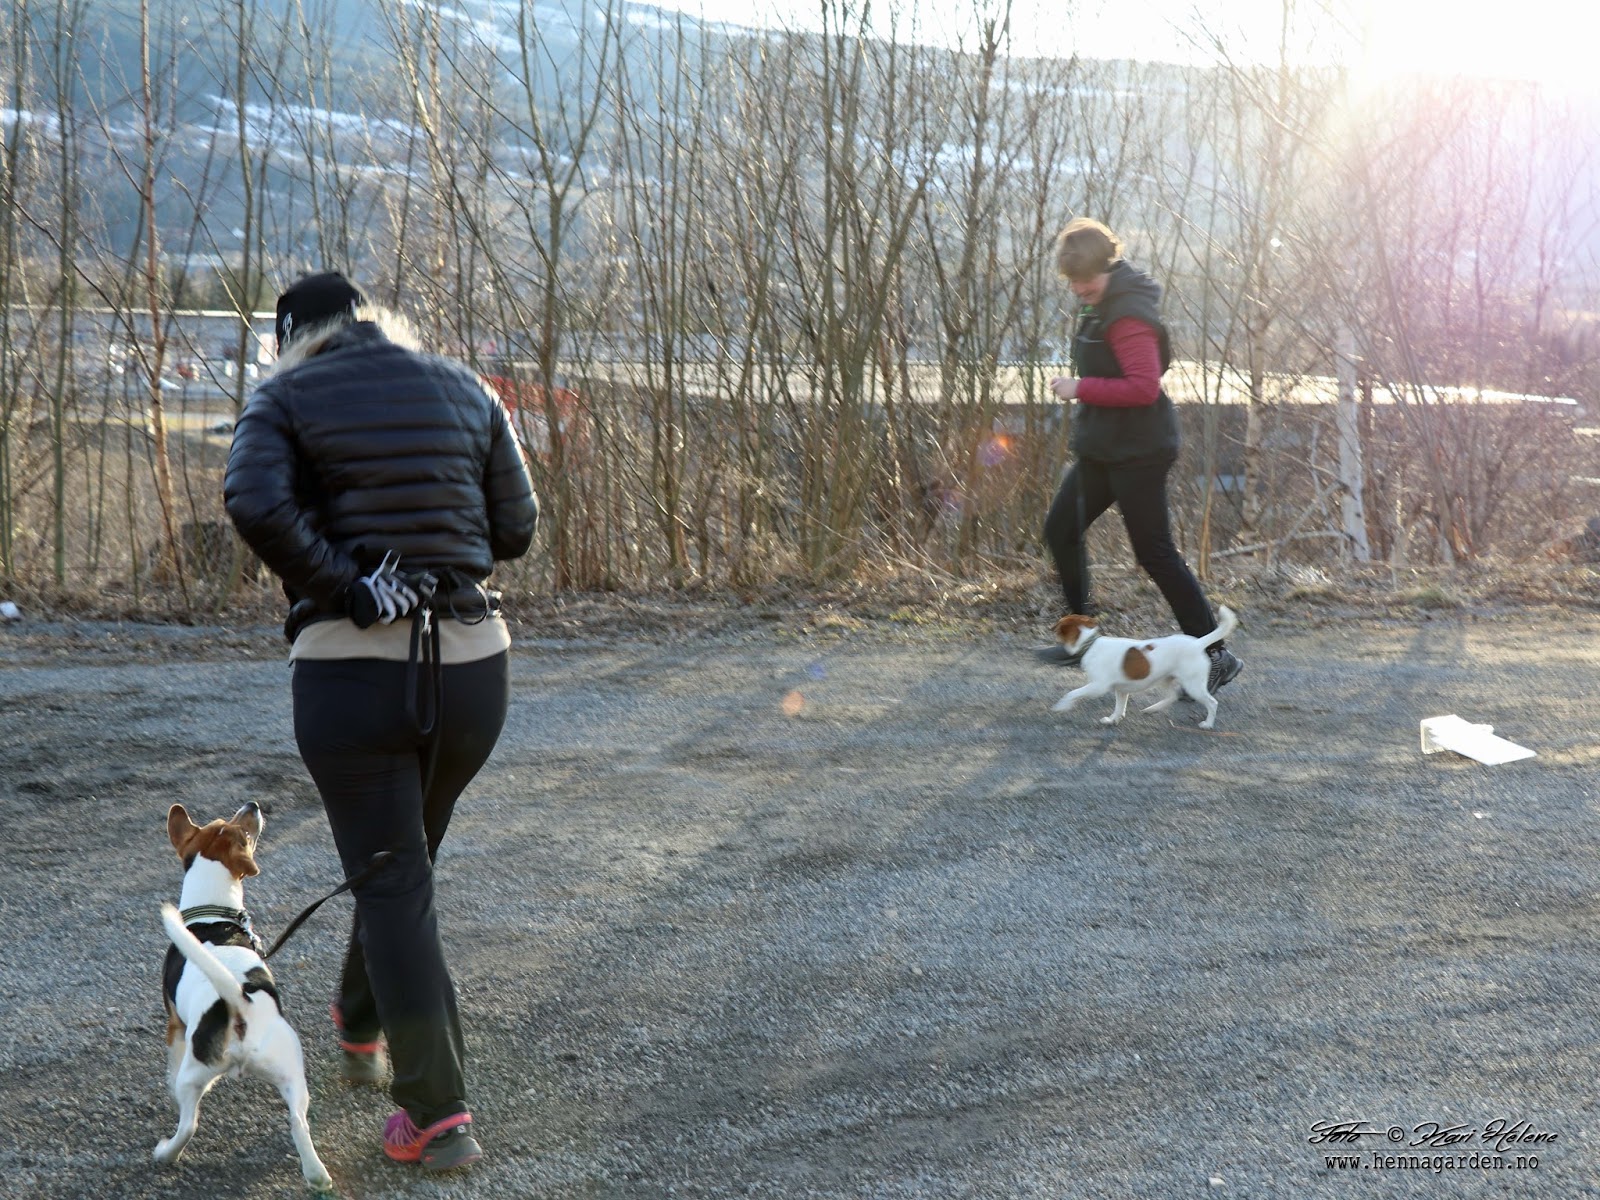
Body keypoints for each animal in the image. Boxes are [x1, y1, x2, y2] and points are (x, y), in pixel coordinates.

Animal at [156, 801, 333, 1192]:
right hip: (292, 1073)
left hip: (193, 1075)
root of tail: (239, 1005)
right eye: (226, 823)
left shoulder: (175, 1027)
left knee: (188, 1124)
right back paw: (317, 1176)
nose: (253, 805)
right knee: (299, 1123)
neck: (211, 915)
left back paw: (165, 1153)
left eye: (242, 831)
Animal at [1051, 606, 1237, 730]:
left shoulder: (1098, 686)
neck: (1089, 644)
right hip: (1165, 679)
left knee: (1212, 703)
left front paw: (1061, 706)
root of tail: (1198, 644)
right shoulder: (1121, 690)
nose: (1051, 628)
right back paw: (1151, 709)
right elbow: (1119, 707)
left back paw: (1208, 724)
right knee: (1173, 696)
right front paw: (1113, 720)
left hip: (1193, 685)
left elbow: (1072, 693)